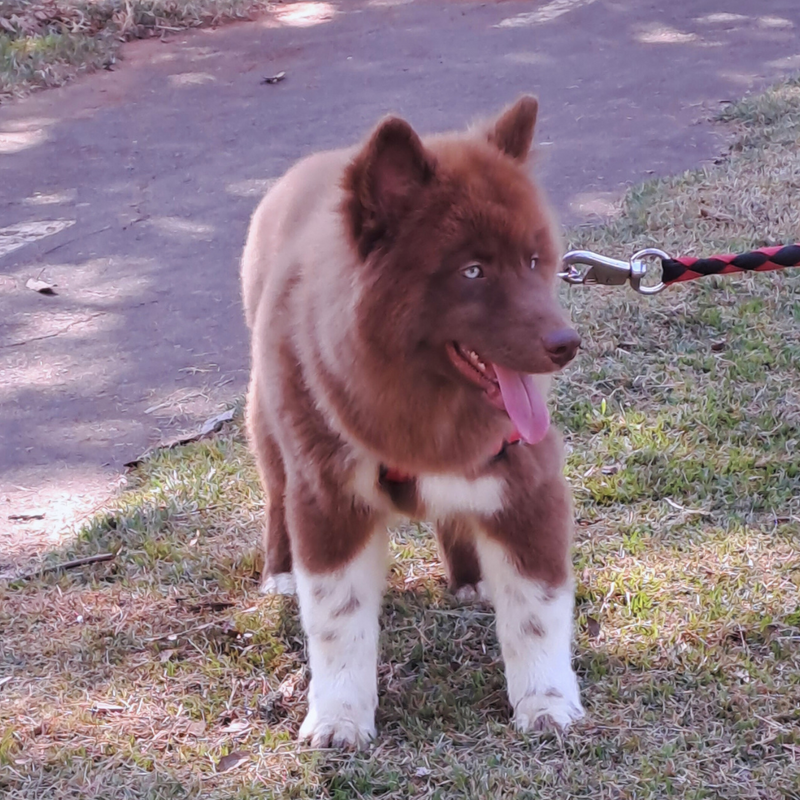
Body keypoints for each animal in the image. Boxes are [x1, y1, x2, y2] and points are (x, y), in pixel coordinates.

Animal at [241, 97, 584, 748]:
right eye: (473, 271)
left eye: (534, 261)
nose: (566, 343)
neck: (425, 410)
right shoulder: (329, 498)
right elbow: (338, 621)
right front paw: (338, 718)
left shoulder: (527, 480)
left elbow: (536, 612)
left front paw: (547, 704)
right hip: (270, 426)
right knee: (274, 494)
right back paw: (279, 572)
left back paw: (471, 579)